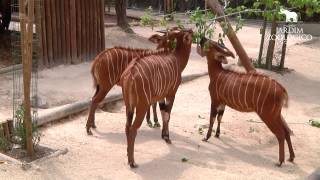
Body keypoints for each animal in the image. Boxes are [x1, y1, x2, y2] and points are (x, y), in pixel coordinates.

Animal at [120, 28, 192, 167]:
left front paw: (163, 135)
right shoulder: (171, 93)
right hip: (141, 106)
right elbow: (167, 114)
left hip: (129, 106)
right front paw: (167, 137)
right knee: (133, 129)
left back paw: (127, 154)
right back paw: (132, 162)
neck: (176, 58)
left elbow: (163, 112)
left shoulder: (160, 96)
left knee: (127, 127)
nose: (192, 30)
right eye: (189, 35)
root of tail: (130, 74)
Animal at [199, 38, 296, 167]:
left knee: (280, 134)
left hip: (267, 115)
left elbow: (212, 119)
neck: (217, 73)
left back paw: (280, 161)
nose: (202, 39)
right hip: (276, 114)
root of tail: (282, 89)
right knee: (286, 131)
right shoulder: (223, 103)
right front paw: (217, 135)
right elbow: (220, 118)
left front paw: (206, 137)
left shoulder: (215, 100)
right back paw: (291, 157)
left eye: (209, 44)